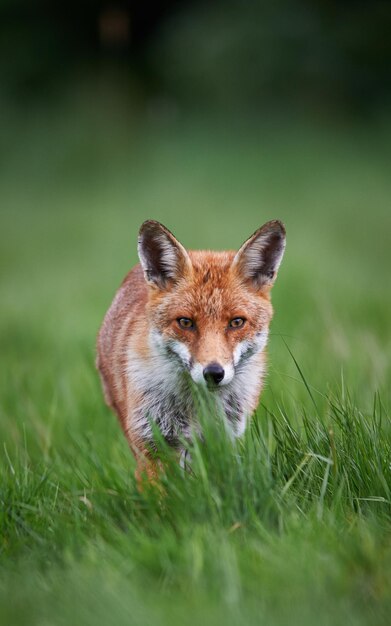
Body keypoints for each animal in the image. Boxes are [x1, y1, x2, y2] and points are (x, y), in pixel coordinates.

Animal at [97, 218, 288, 478]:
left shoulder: (222, 442)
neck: (198, 407)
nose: (214, 373)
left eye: (236, 322)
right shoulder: (152, 444)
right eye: (185, 322)